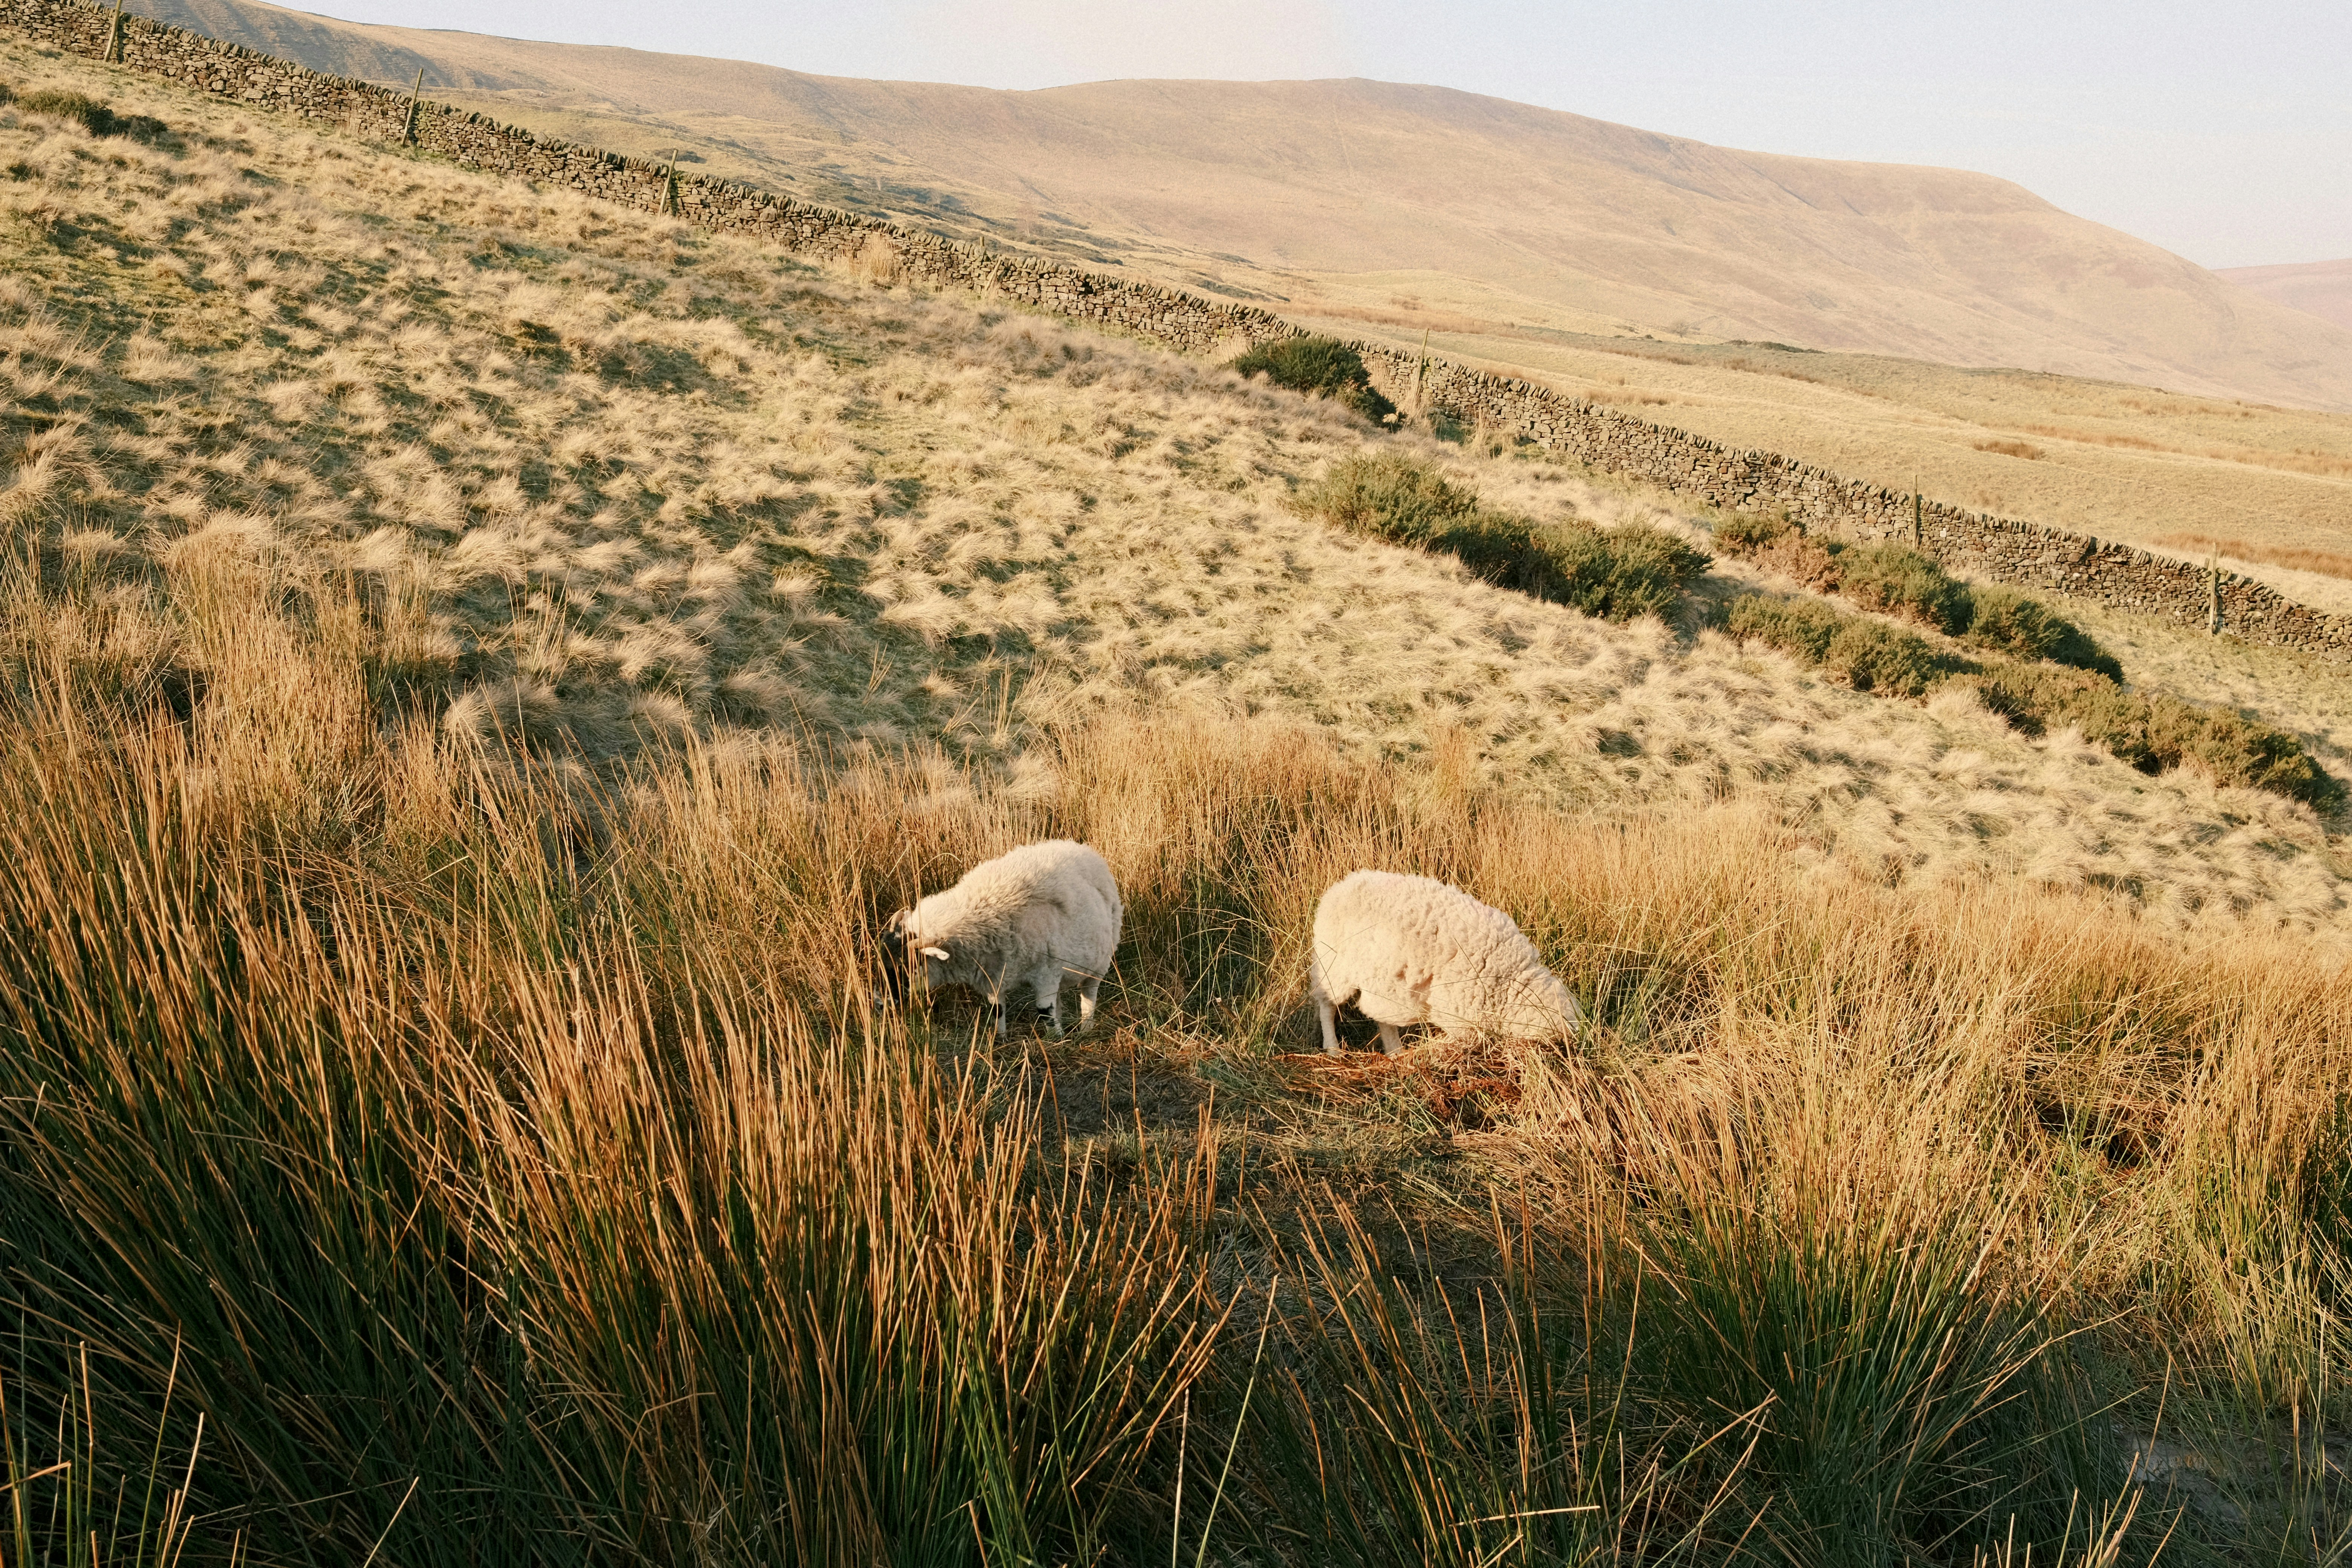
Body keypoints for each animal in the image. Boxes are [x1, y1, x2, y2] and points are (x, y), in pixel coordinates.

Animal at [885, 839, 1122, 1039]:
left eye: (906, 966)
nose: (883, 1004)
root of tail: (1082, 849)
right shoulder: (993, 978)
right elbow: (997, 1011)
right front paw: (1000, 1040)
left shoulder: (1047, 973)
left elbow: (1045, 1011)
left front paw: (1057, 1042)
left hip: (1099, 962)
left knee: (1088, 997)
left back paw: (1086, 1030)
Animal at [1308, 870, 1581, 1056]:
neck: (1509, 979)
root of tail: (1340, 887)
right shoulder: (1459, 1018)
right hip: (1333, 967)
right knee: (1327, 1005)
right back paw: (1333, 1049)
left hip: (1382, 983)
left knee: (1382, 1017)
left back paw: (1395, 1052)